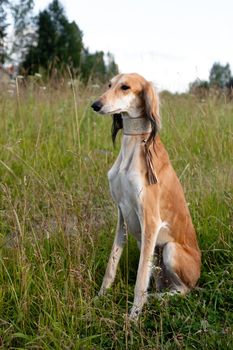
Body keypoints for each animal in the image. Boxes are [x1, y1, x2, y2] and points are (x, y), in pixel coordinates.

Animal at [90, 72, 200, 318]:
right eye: (109, 85)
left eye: (125, 87)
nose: (95, 105)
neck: (133, 145)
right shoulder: (122, 215)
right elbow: (111, 265)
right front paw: (99, 298)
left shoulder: (150, 221)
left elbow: (140, 280)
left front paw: (133, 317)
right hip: (153, 251)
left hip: (169, 249)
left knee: (183, 291)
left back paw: (155, 299)